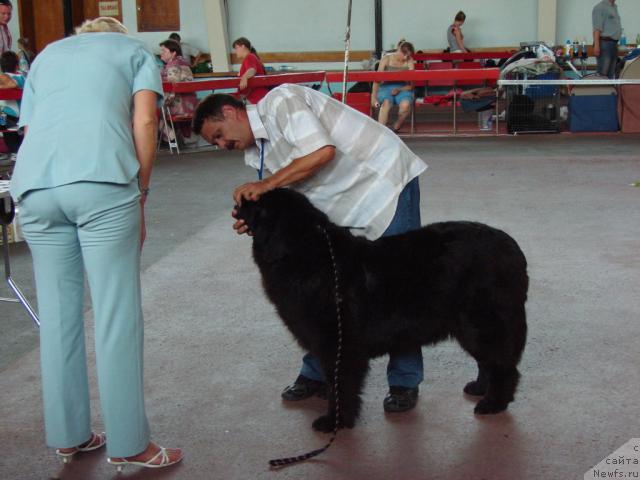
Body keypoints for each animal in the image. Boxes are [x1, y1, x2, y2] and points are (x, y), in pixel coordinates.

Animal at [235, 187, 524, 432]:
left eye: (259, 204)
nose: (240, 199)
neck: (307, 254)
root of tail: (512, 248)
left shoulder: (339, 344)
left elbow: (340, 386)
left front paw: (334, 422)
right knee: (488, 361)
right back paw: (480, 388)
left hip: (482, 323)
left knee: (503, 366)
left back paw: (493, 404)